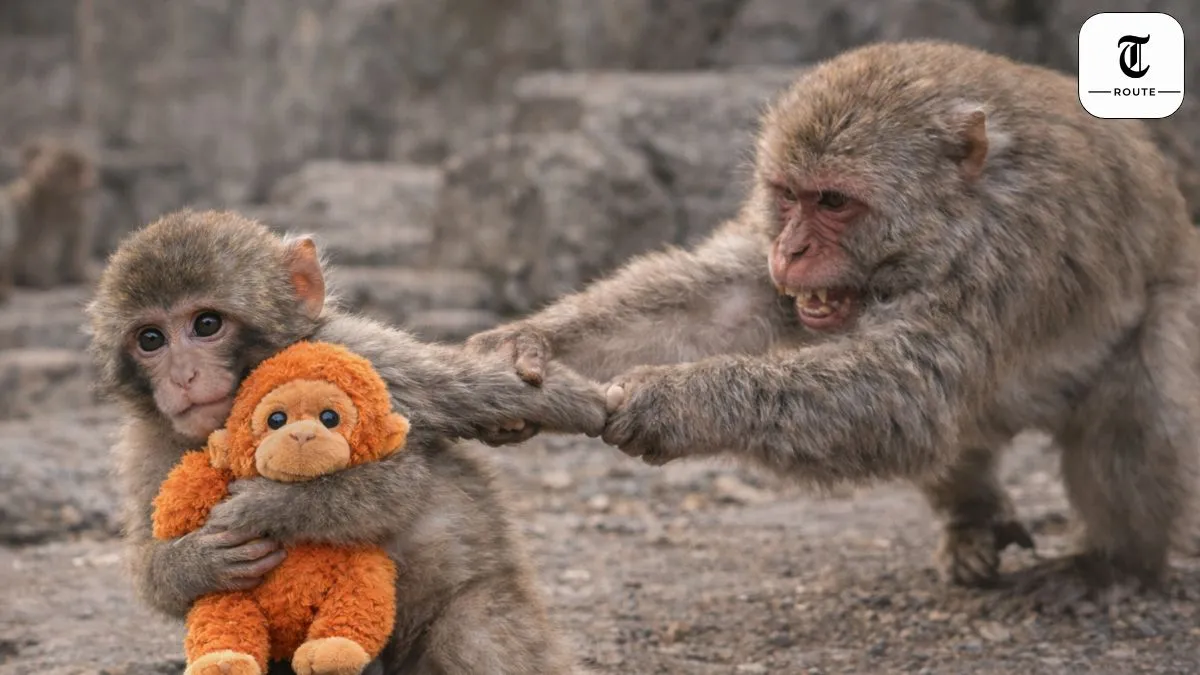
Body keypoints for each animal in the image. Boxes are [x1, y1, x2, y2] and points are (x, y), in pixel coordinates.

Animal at [0, 137, 97, 298]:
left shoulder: (76, 215)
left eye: (56, 165)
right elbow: (39, 245)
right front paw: (44, 280)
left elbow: (76, 241)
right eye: (46, 166)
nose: (43, 171)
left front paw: (81, 275)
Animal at [85, 209, 608, 674]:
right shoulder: (145, 447)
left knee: (472, 633)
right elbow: (148, 562)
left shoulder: (361, 352)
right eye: (151, 339)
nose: (183, 376)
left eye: (206, 324)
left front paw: (268, 507)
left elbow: (405, 475)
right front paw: (194, 562)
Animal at [466, 40, 1200, 601]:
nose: (790, 251)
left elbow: (908, 392)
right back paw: (972, 518)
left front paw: (671, 402)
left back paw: (1113, 562)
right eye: (789, 196)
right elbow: (725, 301)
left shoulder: (1010, 253)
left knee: (1137, 401)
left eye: (834, 202)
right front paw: (524, 345)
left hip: (1177, 295)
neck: (951, 217)